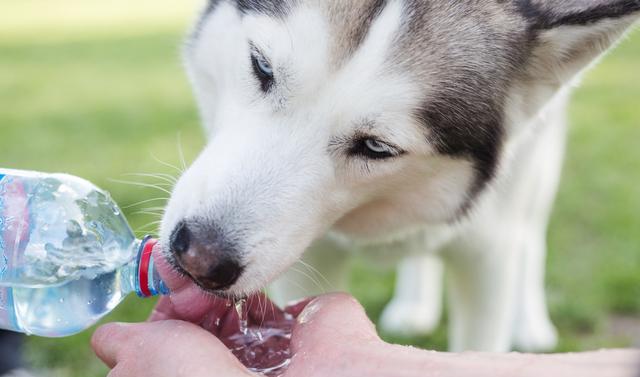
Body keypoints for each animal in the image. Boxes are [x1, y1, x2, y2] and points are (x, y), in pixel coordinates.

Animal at [161, 0, 640, 352]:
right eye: (261, 66)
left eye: (377, 147)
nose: (198, 257)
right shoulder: (310, 260)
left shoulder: (487, 258)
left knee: (532, 236)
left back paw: (531, 322)